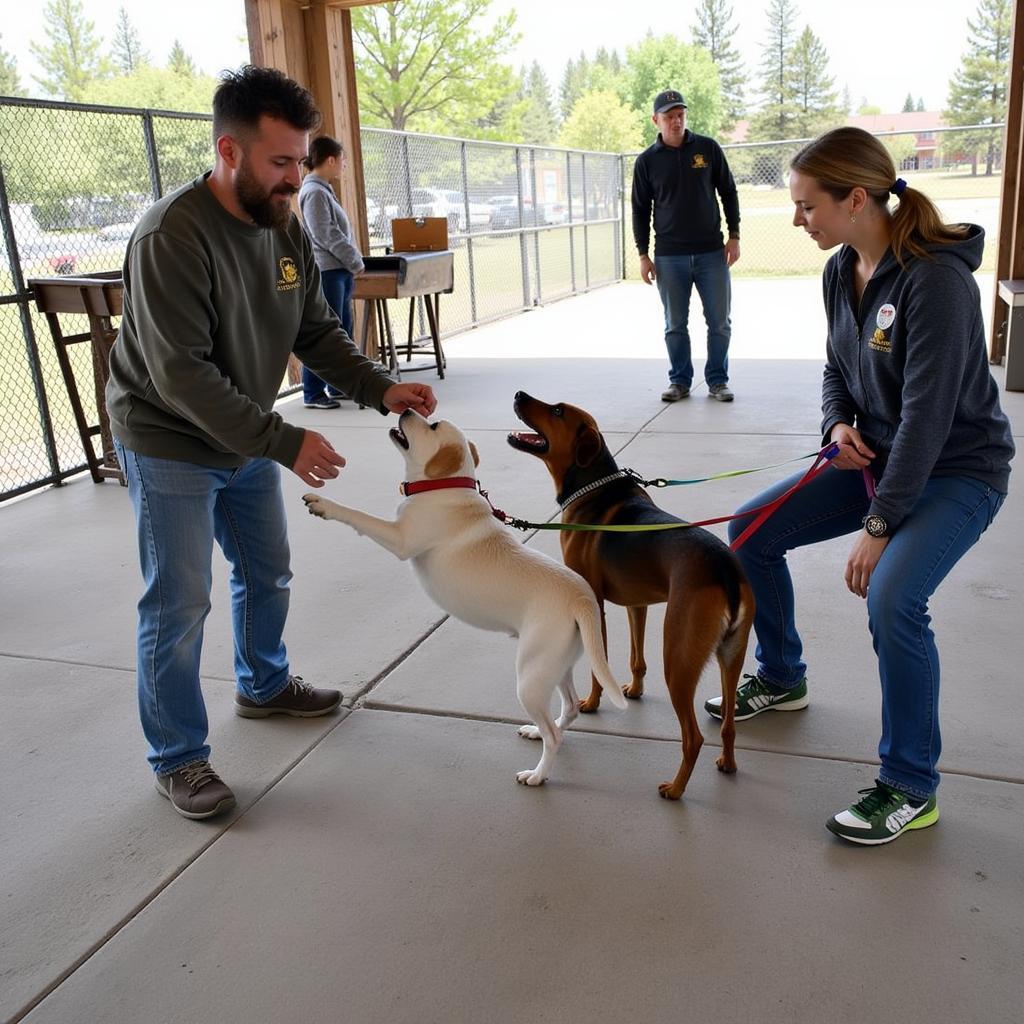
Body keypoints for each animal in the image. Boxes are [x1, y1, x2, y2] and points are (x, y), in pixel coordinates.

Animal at [299, 407, 626, 782]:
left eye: (431, 425)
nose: (406, 408)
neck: (444, 485)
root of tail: (581, 598)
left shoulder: (399, 539)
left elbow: (360, 517)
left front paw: (325, 504)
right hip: (554, 666)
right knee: (569, 708)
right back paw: (537, 732)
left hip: (530, 676)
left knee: (554, 735)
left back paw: (537, 774)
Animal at [507, 391, 757, 798]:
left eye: (557, 411)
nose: (518, 394)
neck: (592, 487)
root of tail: (725, 571)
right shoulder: (636, 604)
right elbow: (636, 656)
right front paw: (634, 690)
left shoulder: (592, 602)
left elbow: (600, 663)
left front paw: (591, 702)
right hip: (731, 655)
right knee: (728, 723)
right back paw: (728, 763)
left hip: (679, 656)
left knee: (693, 737)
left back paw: (675, 788)